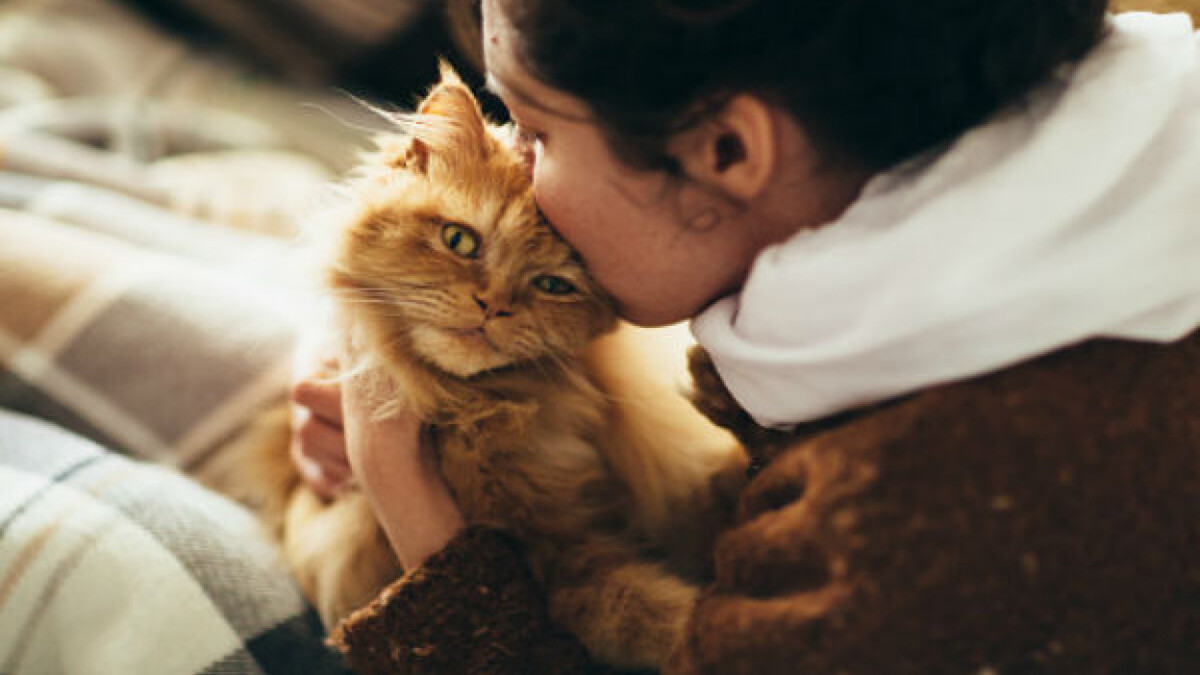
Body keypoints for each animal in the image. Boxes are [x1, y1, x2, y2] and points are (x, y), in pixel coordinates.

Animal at [219, 64, 739, 667]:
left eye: (553, 285)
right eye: (459, 240)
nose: (492, 306)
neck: (479, 416)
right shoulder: (551, 559)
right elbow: (641, 611)